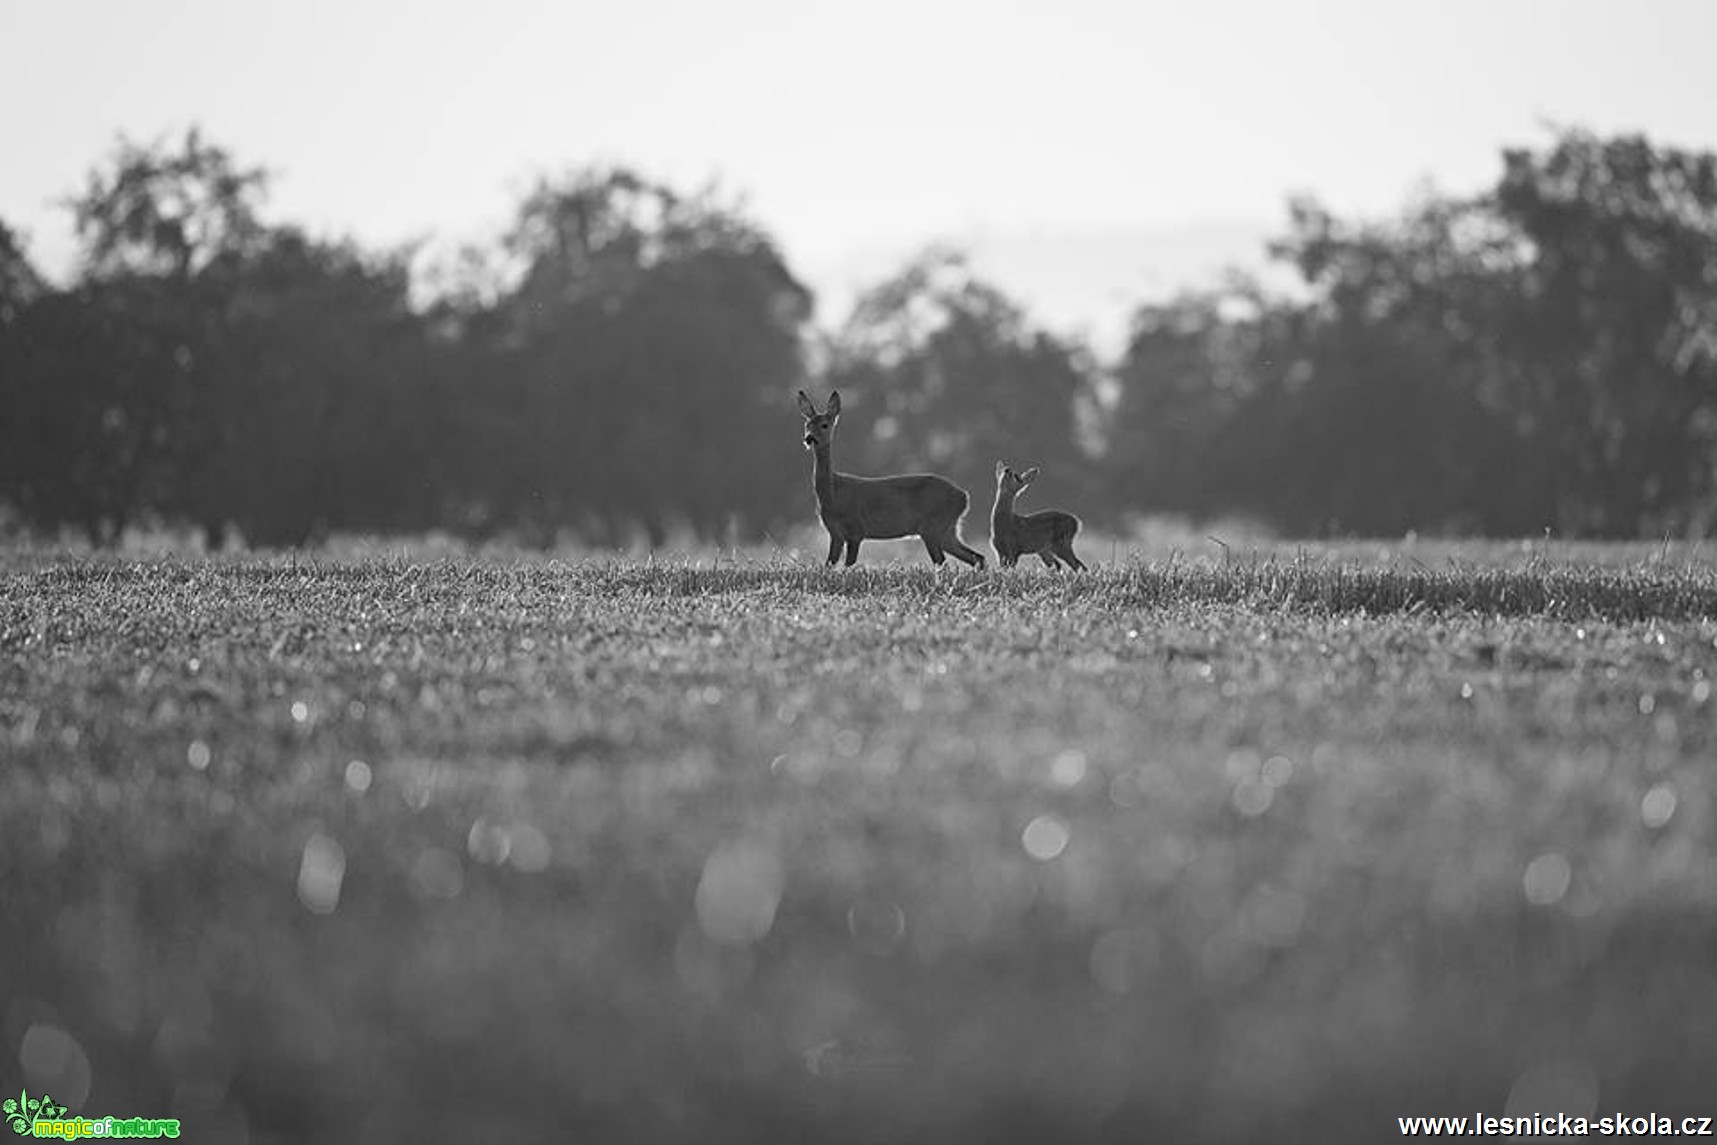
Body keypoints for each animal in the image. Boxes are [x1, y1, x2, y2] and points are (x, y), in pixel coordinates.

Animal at [796, 391, 988, 569]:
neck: (833, 494)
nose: (809, 438)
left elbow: (848, 564)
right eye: (807, 425)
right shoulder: (834, 532)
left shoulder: (856, 529)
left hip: (933, 526)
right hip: (947, 530)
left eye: (824, 425)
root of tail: (964, 497)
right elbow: (829, 564)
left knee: (944, 562)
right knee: (977, 557)